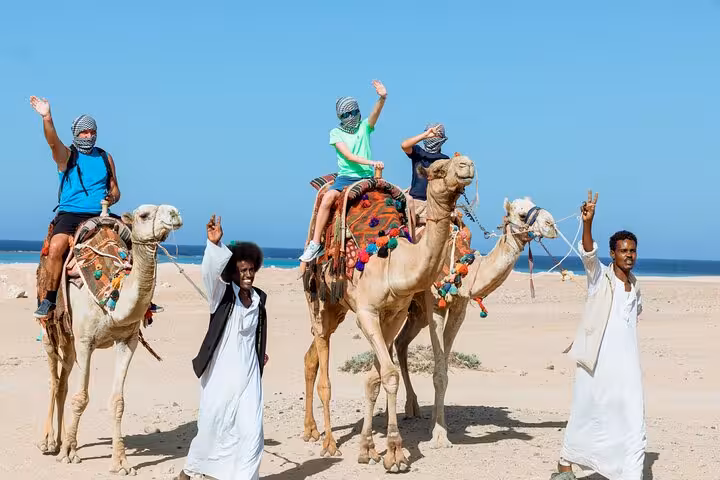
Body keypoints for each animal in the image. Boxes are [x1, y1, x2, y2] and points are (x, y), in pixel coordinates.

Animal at [37, 204, 182, 475]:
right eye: (144, 215)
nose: (175, 214)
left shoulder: (127, 341)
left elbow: (117, 402)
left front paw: (121, 462)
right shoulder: (85, 341)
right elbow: (81, 398)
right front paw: (70, 453)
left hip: (69, 339)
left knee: (63, 381)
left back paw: (60, 440)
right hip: (50, 330)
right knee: (54, 379)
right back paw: (48, 442)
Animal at [301, 154, 475, 472]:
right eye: (438, 169)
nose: (466, 164)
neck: (393, 263)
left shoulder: (394, 314)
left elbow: (376, 377)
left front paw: (370, 448)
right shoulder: (367, 313)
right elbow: (389, 374)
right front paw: (394, 452)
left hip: (338, 308)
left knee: (311, 357)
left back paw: (310, 430)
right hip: (318, 295)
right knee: (322, 357)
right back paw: (329, 442)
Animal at [394, 197, 558, 447]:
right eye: (522, 215)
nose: (552, 225)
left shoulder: (459, 307)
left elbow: (443, 369)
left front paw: (436, 425)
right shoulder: (435, 303)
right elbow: (439, 373)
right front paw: (439, 436)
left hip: (416, 313)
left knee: (400, 343)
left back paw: (412, 407)